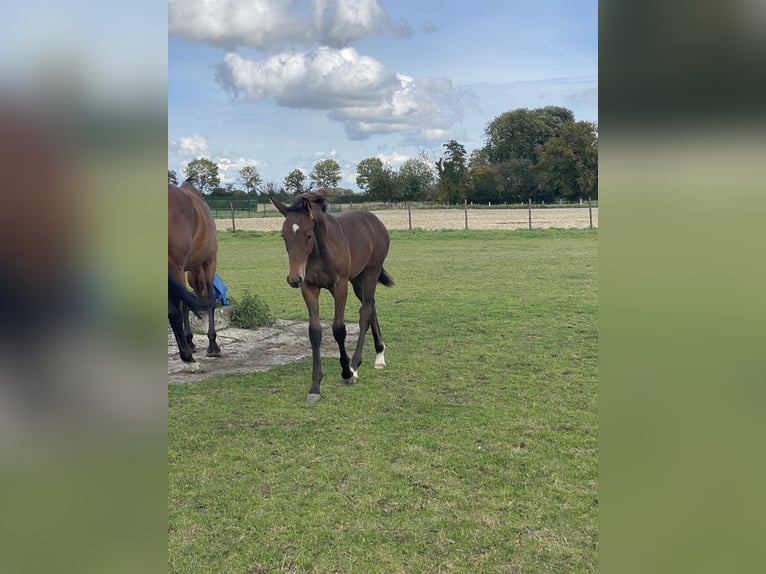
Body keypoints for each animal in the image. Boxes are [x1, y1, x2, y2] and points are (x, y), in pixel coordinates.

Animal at [166, 180, 219, 364]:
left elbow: (186, 303)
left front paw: (190, 341)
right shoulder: (210, 261)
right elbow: (210, 301)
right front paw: (213, 344)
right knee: (173, 312)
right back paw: (186, 356)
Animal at [272, 191, 396, 402]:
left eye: (308, 235)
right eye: (283, 236)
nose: (294, 279)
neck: (320, 252)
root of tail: (375, 220)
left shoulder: (340, 286)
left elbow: (339, 329)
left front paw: (346, 372)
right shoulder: (309, 287)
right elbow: (314, 331)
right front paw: (315, 386)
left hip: (370, 274)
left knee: (365, 312)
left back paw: (356, 365)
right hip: (358, 279)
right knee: (371, 307)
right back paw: (379, 355)